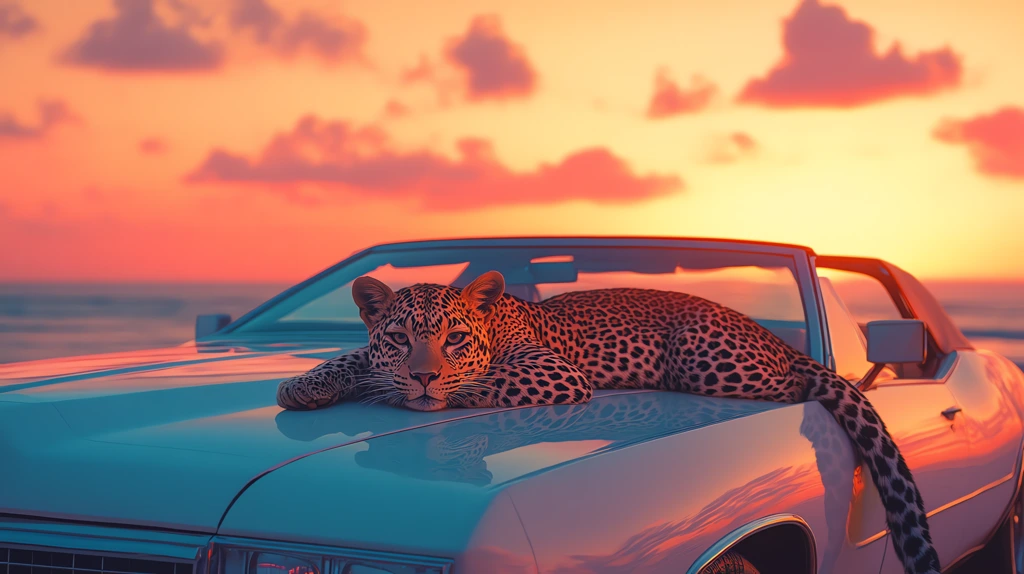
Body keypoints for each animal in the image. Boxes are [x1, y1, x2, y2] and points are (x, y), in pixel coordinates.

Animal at [276, 270, 937, 572]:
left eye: (455, 339)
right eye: (398, 337)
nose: (422, 376)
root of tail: (776, 338)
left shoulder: (553, 372)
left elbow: (475, 383)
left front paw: (407, 389)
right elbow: (354, 358)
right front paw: (304, 384)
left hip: (706, 357)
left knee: (795, 384)